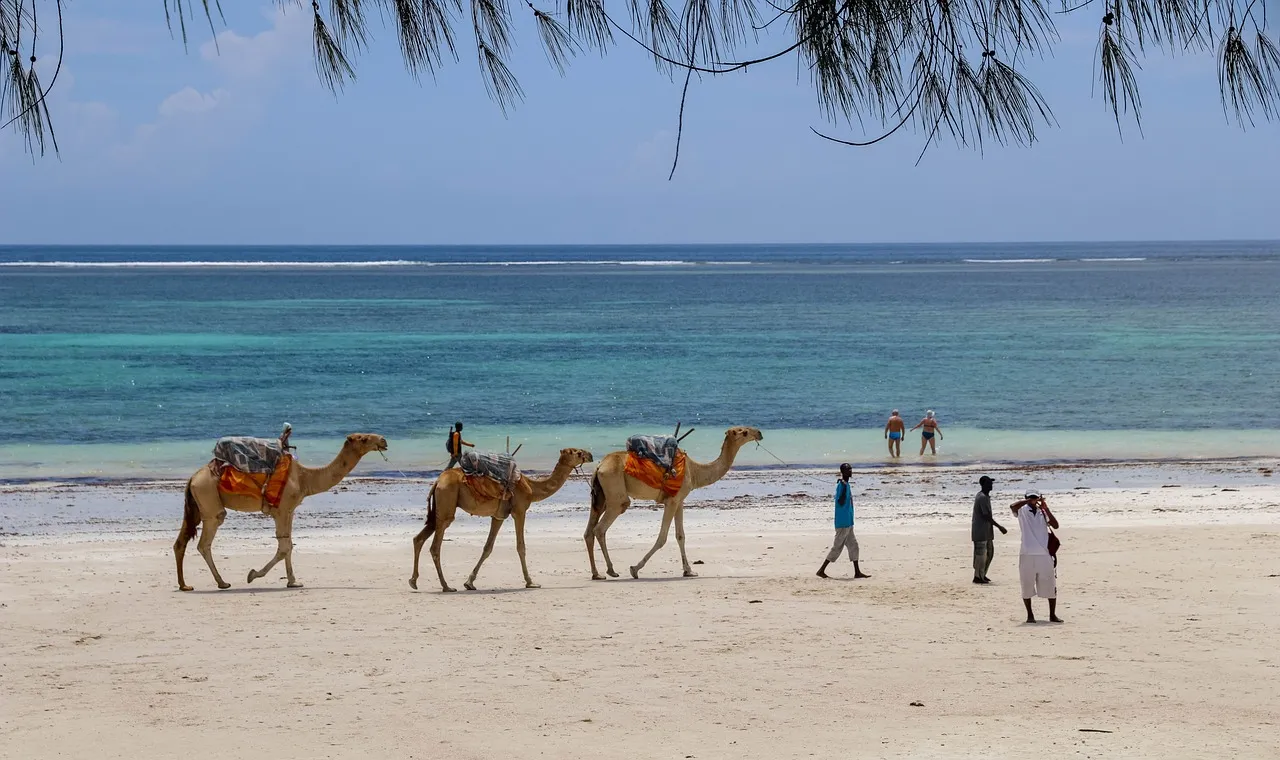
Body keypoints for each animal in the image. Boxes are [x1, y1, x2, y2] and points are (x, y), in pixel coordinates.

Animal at [173, 433, 388, 591]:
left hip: (197, 505)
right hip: (209, 501)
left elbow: (289, 544)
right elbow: (284, 547)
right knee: (204, 542)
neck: (304, 478)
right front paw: (253, 575)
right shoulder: (282, 510)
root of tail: (193, 478)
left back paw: (185, 585)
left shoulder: (290, 511)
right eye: (363, 438)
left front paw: (293, 581)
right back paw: (222, 582)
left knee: (181, 541)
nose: (383, 440)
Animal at [409, 447, 594, 592]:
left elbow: (487, 548)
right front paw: (531, 582)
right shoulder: (520, 511)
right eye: (578, 452)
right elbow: (521, 547)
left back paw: (413, 581)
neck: (531, 487)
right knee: (435, 547)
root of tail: (437, 482)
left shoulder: (498, 516)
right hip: (447, 504)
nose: (590, 455)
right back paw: (446, 586)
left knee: (419, 538)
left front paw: (469, 583)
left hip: (439, 510)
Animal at [584, 426, 763, 580]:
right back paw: (611, 570)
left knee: (589, 532)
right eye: (744, 432)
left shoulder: (679, 501)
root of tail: (599, 466)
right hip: (616, 495)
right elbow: (662, 537)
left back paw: (597, 574)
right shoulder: (671, 501)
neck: (695, 471)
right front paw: (635, 569)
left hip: (601, 497)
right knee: (600, 528)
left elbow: (680, 535)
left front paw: (689, 571)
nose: (759, 433)